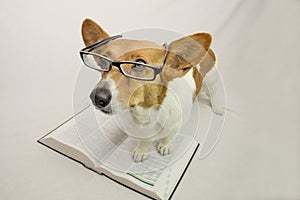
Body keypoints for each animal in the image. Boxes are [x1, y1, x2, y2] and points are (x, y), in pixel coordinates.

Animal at [79, 18, 223, 162]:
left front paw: (164, 146)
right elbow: (145, 140)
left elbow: (169, 136)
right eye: (103, 61)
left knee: (214, 92)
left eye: (139, 64)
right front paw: (142, 151)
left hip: (212, 78)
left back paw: (217, 107)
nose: (97, 97)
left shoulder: (177, 124)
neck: (146, 112)